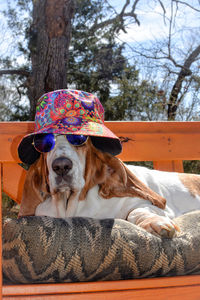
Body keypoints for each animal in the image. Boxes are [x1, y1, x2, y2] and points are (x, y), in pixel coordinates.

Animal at [17, 89, 200, 239]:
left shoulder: (148, 206)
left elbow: (136, 211)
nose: (61, 166)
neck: (72, 206)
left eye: (80, 140)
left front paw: (156, 223)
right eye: (45, 144)